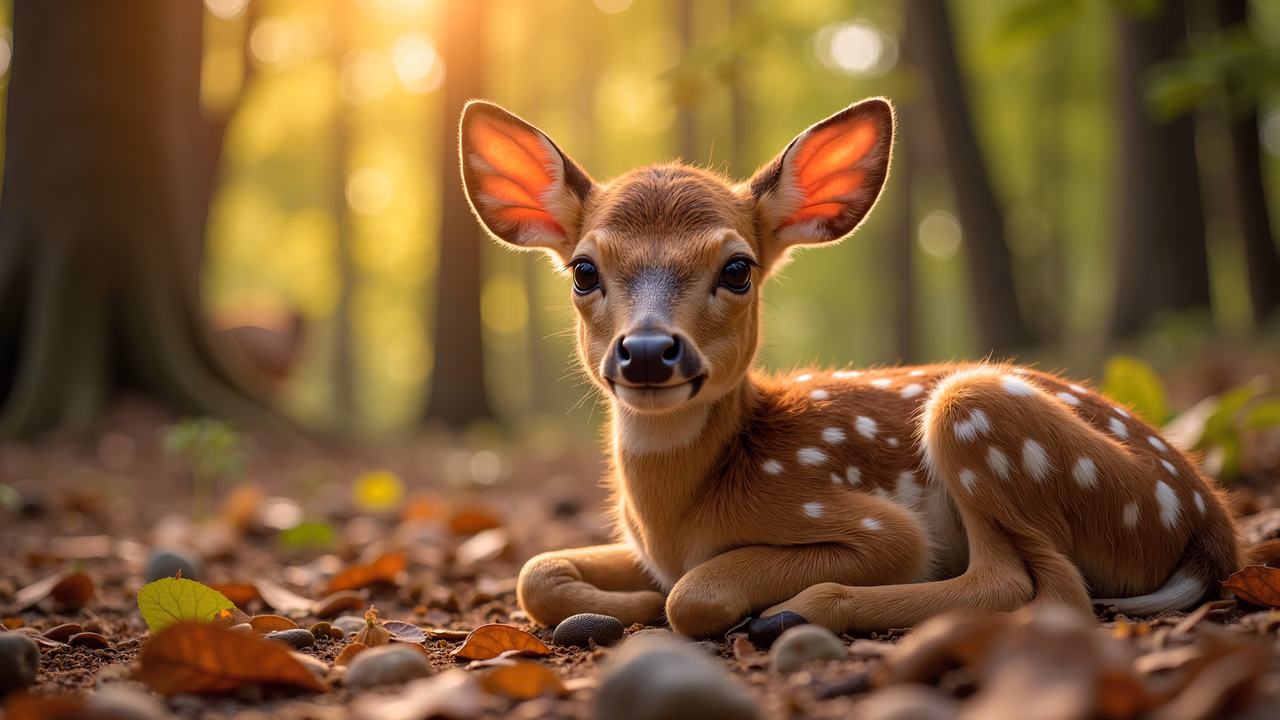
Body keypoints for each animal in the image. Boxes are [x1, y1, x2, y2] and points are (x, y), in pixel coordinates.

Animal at [456, 96, 1243, 638]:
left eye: (737, 269)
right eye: (584, 270)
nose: (649, 351)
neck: (678, 519)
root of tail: (1212, 525)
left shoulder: (855, 517)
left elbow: (694, 592)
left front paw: (674, 601)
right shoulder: (638, 546)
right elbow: (535, 570)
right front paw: (631, 597)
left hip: (979, 414)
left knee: (1033, 589)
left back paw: (797, 613)